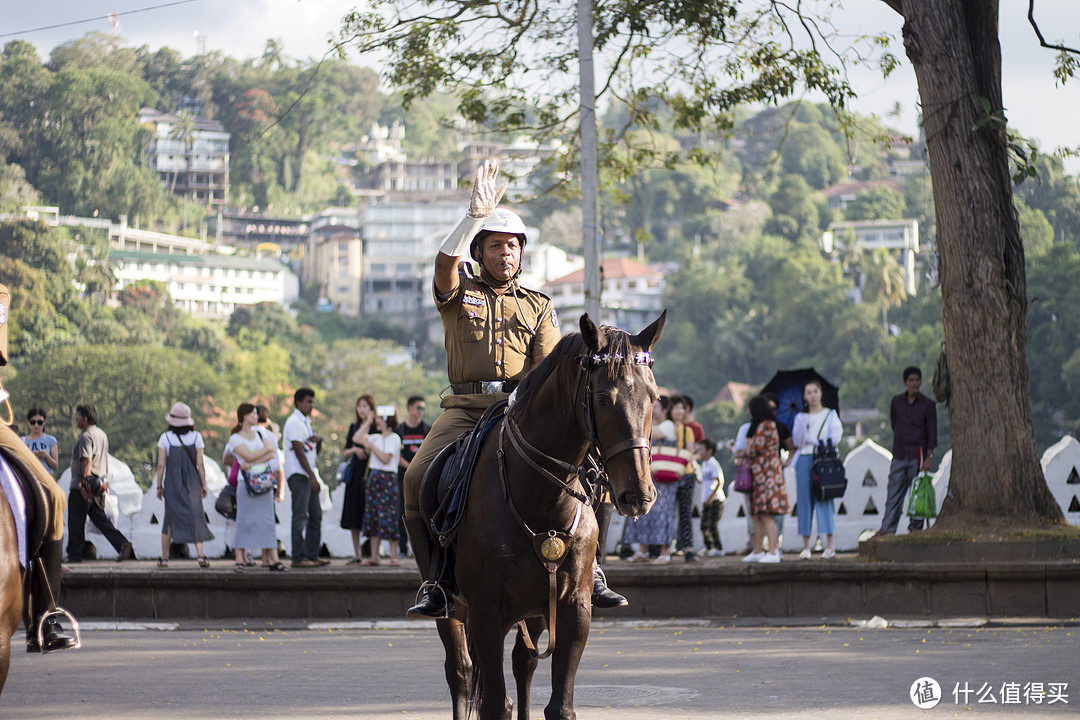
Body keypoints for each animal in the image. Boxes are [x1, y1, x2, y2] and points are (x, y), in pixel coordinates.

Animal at [432, 313, 665, 720]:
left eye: (653, 398)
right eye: (602, 398)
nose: (638, 494)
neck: (540, 497)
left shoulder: (573, 609)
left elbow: (559, 705)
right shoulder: (486, 611)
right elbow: (495, 704)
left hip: (536, 611)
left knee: (523, 662)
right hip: (454, 611)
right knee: (460, 672)